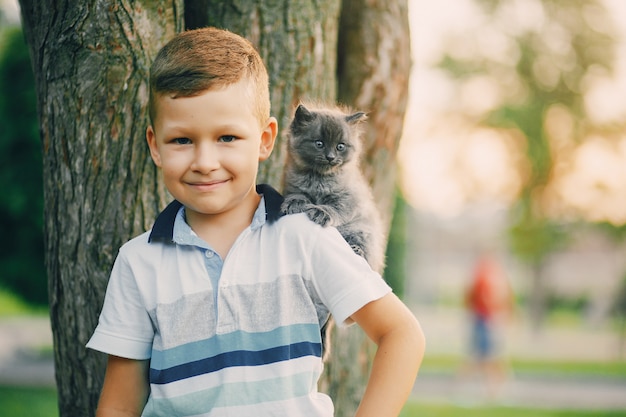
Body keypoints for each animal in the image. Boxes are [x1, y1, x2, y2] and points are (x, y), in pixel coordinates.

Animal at [280, 103, 382, 272]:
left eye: (340, 146)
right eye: (319, 143)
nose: (330, 157)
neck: (318, 178)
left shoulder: (350, 198)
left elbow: (336, 207)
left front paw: (321, 212)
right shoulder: (294, 185)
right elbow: (298, 194)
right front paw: (294, 203)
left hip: (363, 231)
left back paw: (357, 250)